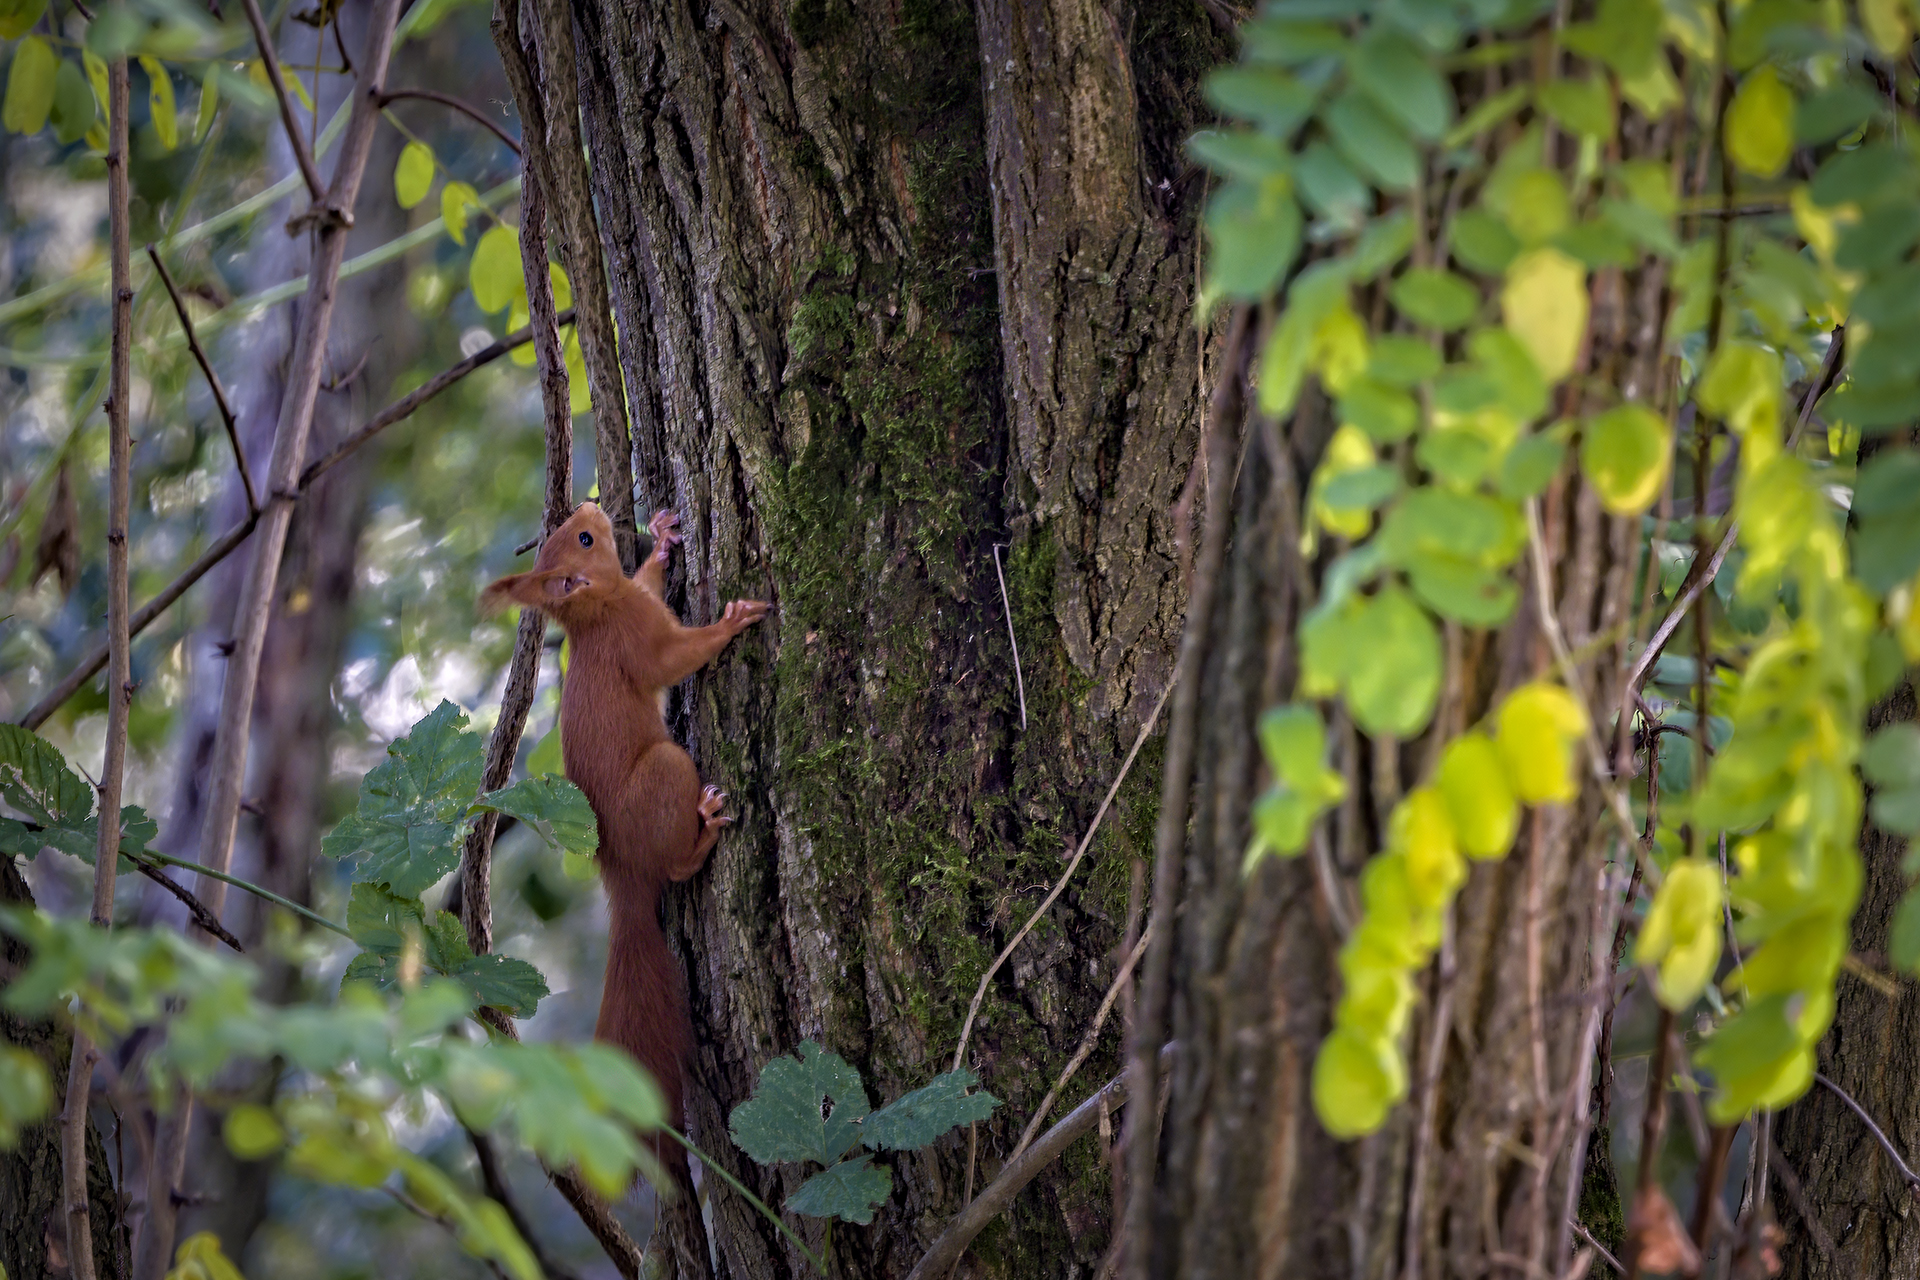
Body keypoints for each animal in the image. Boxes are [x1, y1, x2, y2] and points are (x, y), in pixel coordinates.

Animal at [481, 501, 769, 1148]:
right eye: (587, 540)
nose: (589, 504)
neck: (599, 611)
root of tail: (624, 877)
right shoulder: (638, 639)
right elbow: (676, 658)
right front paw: (730, 624)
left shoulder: (635, 601)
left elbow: (650, 581)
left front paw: (661, 543)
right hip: (668, 770)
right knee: (677, 866)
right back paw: (705, 828)